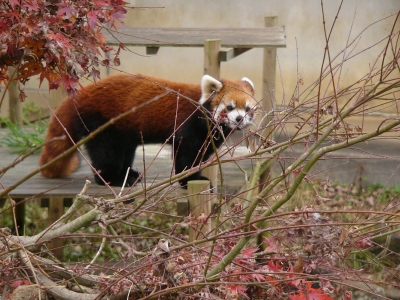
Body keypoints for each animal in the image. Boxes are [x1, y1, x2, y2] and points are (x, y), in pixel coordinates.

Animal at [39, 73, 258, 186]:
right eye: (229, 107)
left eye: (247, 109)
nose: (239, 119)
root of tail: (80, 96)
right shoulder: (187, 127)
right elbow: (185, 156)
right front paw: (189, 179)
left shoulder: (208, 137)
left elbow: (201, 154)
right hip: (101, 123)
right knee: (106, 153)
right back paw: (112, 179)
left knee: (124, 152)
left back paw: (129, 174)